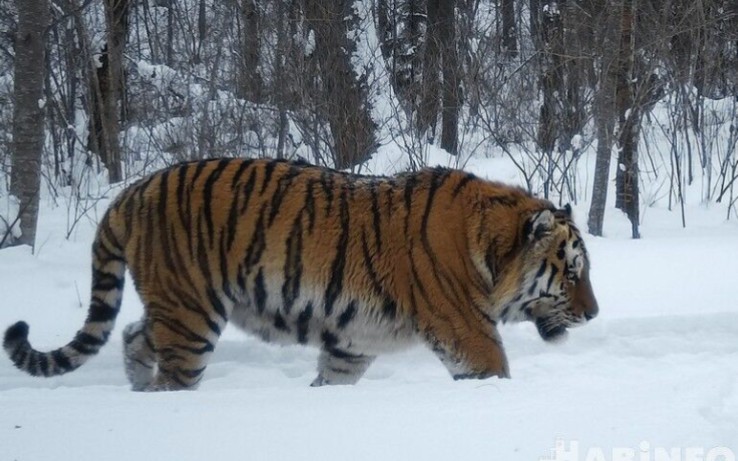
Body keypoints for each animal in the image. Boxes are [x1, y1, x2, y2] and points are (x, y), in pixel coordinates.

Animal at [2, 157, 596, 388]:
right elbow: (495, 372)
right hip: (190, 319)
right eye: (571, 273)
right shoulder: (468, 335)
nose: (593, 315)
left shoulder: (352, 342)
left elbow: (331, 379)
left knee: (129, 334)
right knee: (170, 372)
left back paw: (135, 388)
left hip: (175, 308)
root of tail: (132, 192)